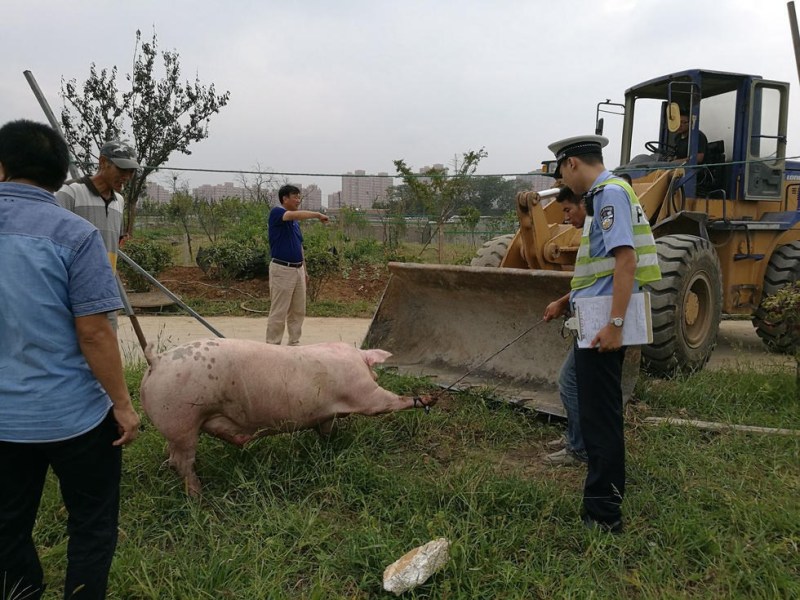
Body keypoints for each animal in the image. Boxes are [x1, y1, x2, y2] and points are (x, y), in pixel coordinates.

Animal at [141, 340, 434, 494]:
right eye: (375, 375)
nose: (376, 375)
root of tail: (157, 360)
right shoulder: (365, 393)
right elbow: (388, 402)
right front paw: (428, 399)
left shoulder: (324, 415)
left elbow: (327, 430)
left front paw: (331, 445)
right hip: (183, 421)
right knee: (183, 462)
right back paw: (198, 495)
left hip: (177, 428)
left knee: (173, 456)